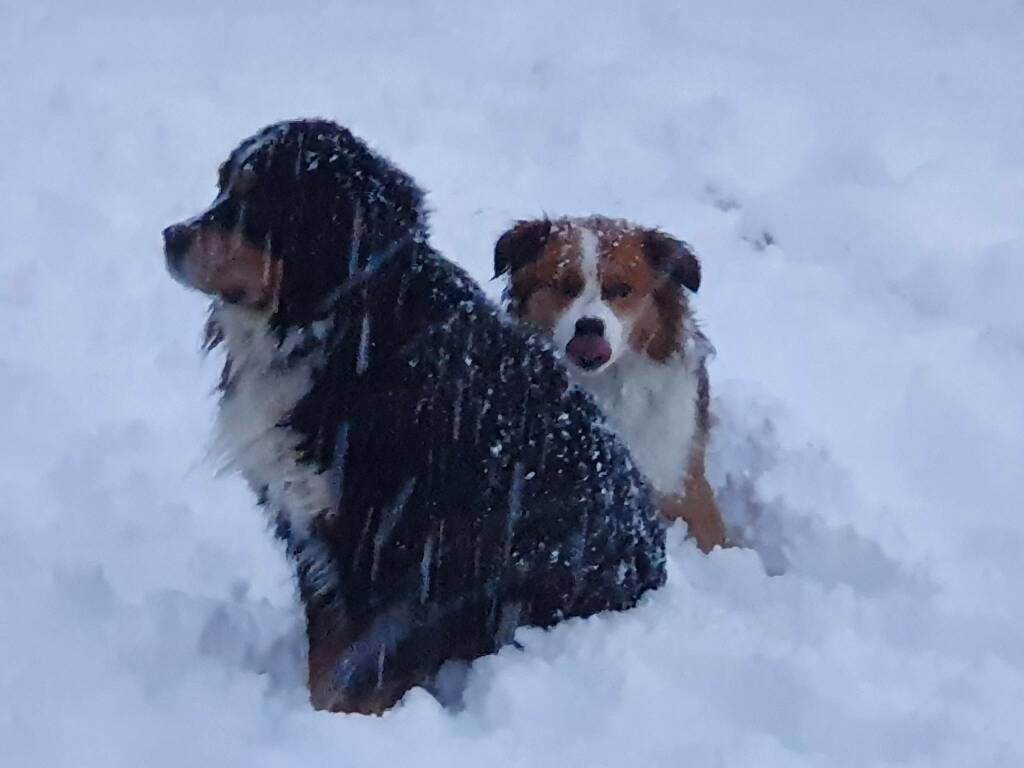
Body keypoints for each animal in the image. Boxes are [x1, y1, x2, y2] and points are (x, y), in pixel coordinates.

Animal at [160, 118, 663, 716]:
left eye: (255, 199)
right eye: (222, 186)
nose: (170, 237)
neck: (344, 324)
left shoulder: (386, 539)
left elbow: (355, 665)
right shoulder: (315, 529)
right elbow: (326, 653)